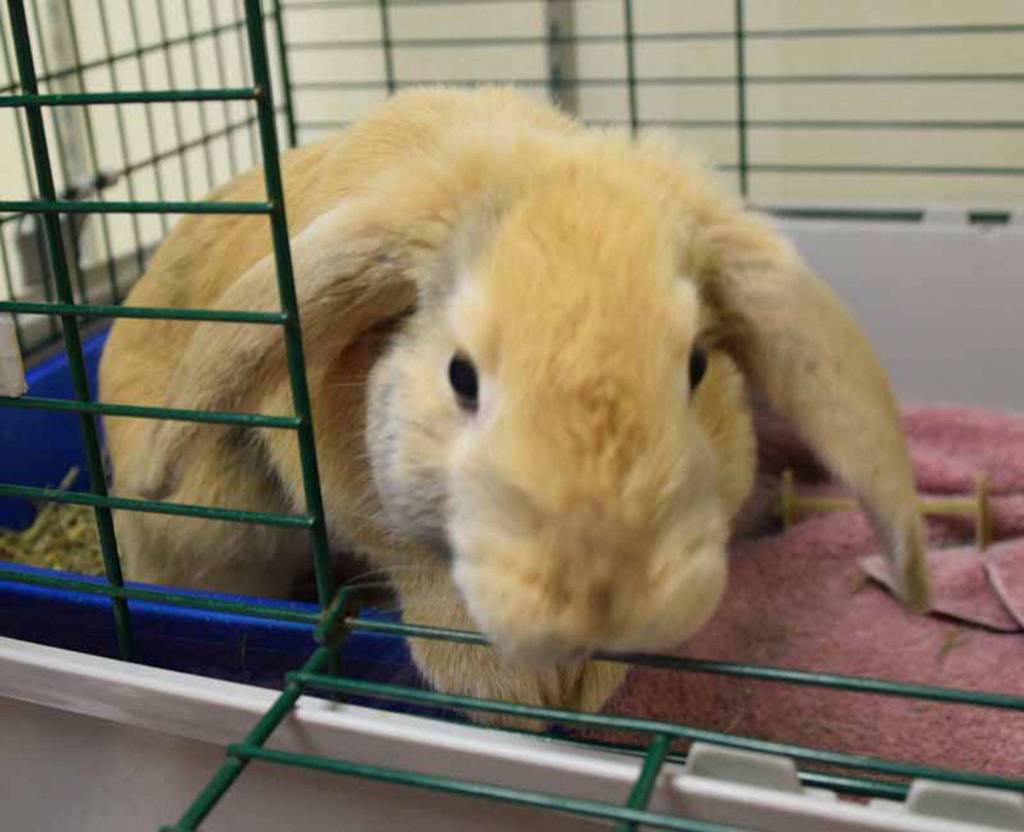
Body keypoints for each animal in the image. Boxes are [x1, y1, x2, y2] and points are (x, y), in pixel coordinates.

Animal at [99, 86, 930, 727]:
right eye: (461, 376)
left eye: (695, 366)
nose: (598, 599)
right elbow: (424, 571)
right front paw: (513, 695)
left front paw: (586, 682)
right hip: (212, 538)